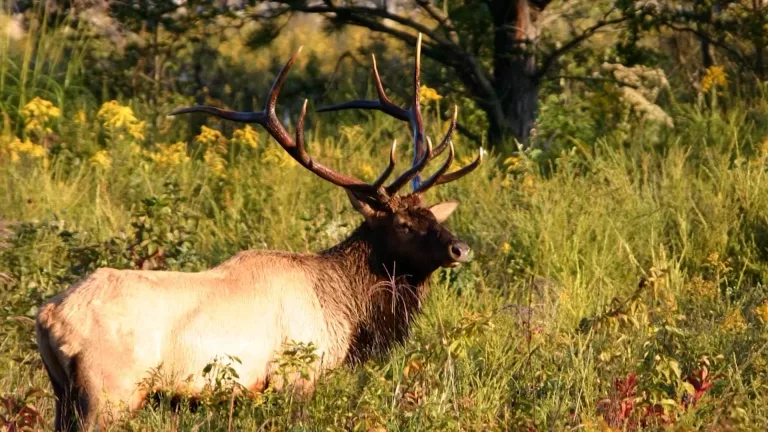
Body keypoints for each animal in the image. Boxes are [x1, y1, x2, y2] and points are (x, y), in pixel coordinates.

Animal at [35, 34, 483, 432]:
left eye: (434, 217)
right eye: (404, 225)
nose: (461, 248)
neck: (345, 309)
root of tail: (47, 316)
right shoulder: (294, 374)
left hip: (63, 393)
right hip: (110, 390)